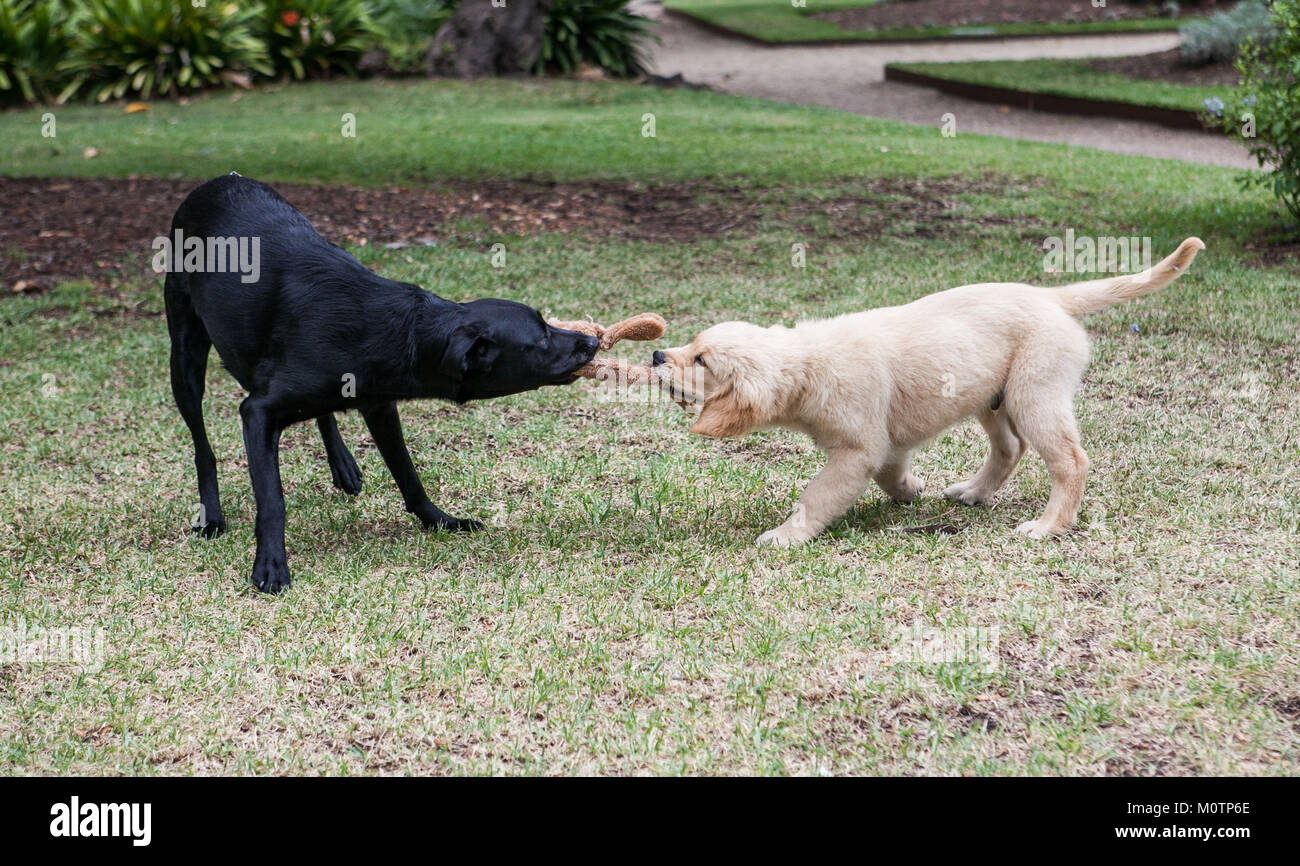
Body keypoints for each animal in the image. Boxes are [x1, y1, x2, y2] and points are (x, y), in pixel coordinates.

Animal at [163, 171, 603, 590]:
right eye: (541, 338)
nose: (593, 341)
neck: (397, 329)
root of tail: (220, 181)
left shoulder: (379, 405)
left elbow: (408, 475)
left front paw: (440, 521)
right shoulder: (257, 411)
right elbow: (272, 501)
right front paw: (270, 565)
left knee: (323, 414)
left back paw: (342, 464)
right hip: (185, 358)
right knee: (202, 446)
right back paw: (211, 515)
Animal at [655, 236, 1201, 546]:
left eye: (701, 360)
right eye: (692, 345)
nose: (658, 356)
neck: (808, 361)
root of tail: (1052, 297)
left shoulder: (856, 449)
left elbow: (817, 495)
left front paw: (787, 535)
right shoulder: (884, 444)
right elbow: (890, 472)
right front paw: (909, 491)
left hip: (1035, 393)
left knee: (1070, 460)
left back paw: (1049, 526)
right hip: (991, 398)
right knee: (1009, 449)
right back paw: (975, 493)